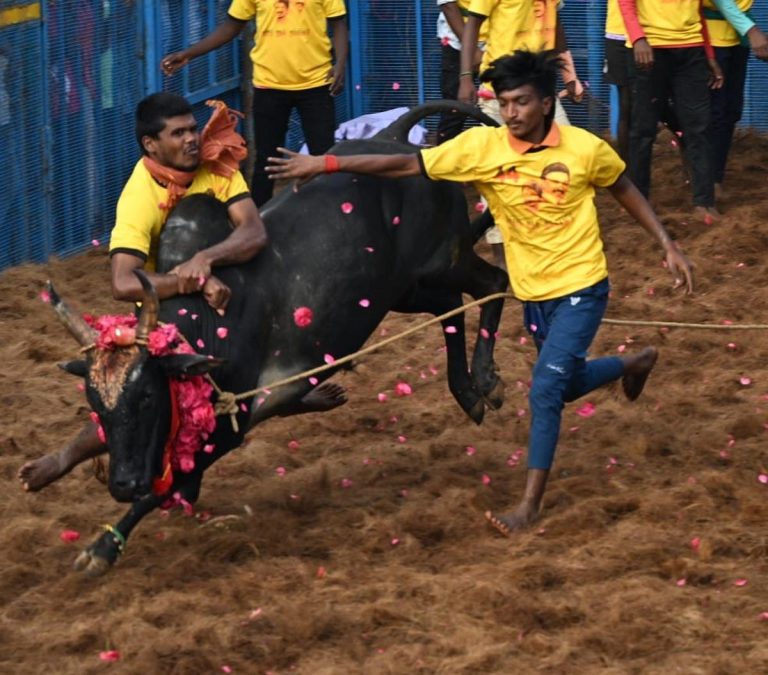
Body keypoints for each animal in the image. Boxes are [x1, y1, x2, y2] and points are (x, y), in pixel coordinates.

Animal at [50, 102, 509, 575]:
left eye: (146, 397)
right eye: (95, 402)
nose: (123, 482)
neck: (208, 327)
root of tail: (398, 138)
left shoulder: (229, 423)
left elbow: (168, 485)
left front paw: (103, 547)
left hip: (444, 261)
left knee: (495, 282)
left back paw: (484, 381)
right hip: (406, 289)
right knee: (450, 309)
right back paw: (468, 392)